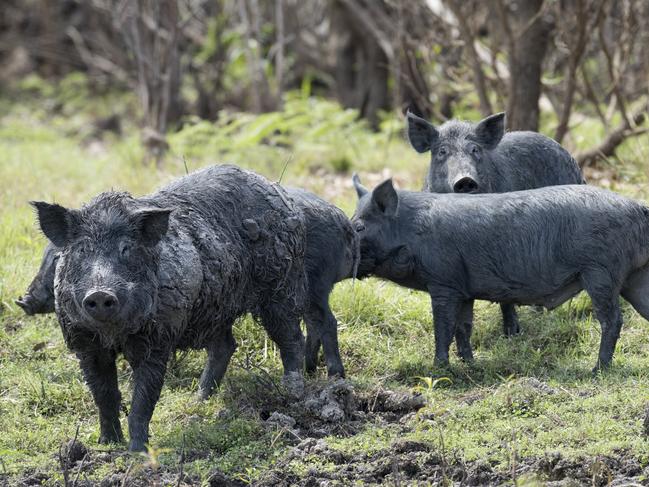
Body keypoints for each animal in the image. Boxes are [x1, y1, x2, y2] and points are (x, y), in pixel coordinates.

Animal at [26, 166, 308, 452]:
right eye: (82, 249)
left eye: (126, 248)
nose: (100, 293)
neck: (113, 335)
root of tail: (276, 189)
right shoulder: (84, 343)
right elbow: (104, 396)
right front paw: (107, 444)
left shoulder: (158, 339)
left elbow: (143, 400)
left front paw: (137, 452)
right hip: (216, 308)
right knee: (226, 346)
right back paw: (199, 400)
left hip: (279, 285)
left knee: (291, 336)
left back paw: (293, 391)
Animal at [352, 177, 648, 372]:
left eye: (358, 227)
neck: (411, 232)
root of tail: (637, 207)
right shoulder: (464, 290)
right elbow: (463, 327)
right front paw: (471, 364)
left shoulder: (444, 283)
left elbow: (443, 327)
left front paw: (439, 369)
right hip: (634, 277)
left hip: (601, 273)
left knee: (612, 319)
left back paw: (597, 369)